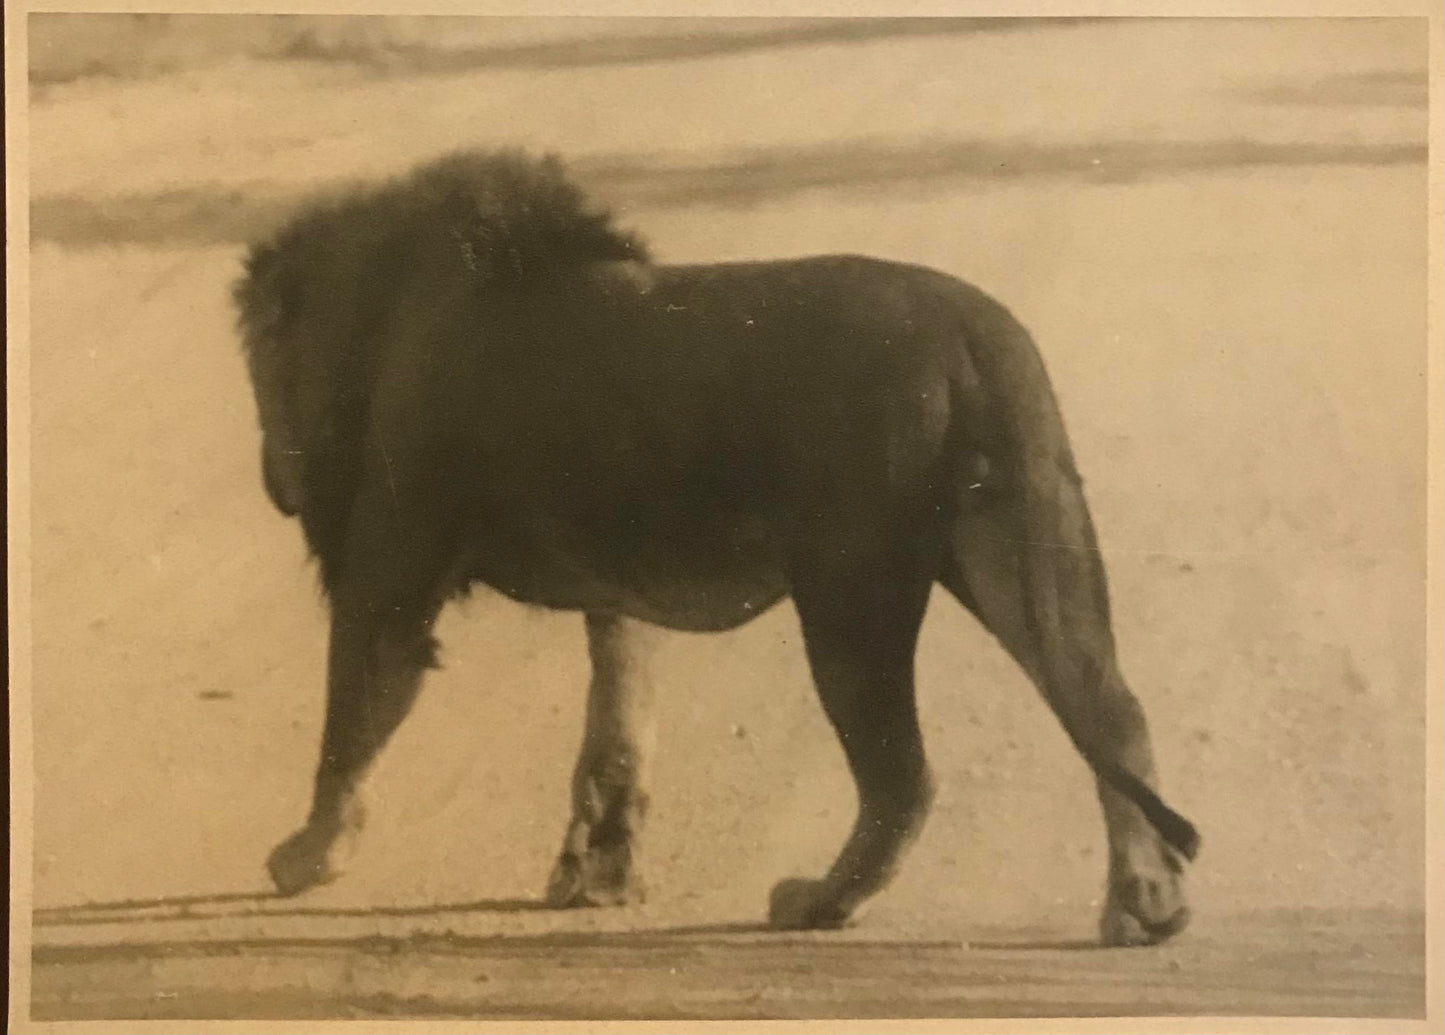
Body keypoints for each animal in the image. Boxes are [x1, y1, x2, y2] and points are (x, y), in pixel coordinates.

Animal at [234, 149, 1197, 943]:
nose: (271, 475)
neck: (388, 311)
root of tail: (971, 330)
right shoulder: (614, 596)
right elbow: (618, 728)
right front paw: (599, 876)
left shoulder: (391, 574)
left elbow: (349, 717)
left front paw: (308, 854)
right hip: (1022, 540)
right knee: (1109, 710)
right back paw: (1145, 903)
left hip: (848, 590)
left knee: (901, 775)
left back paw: (820, 901)